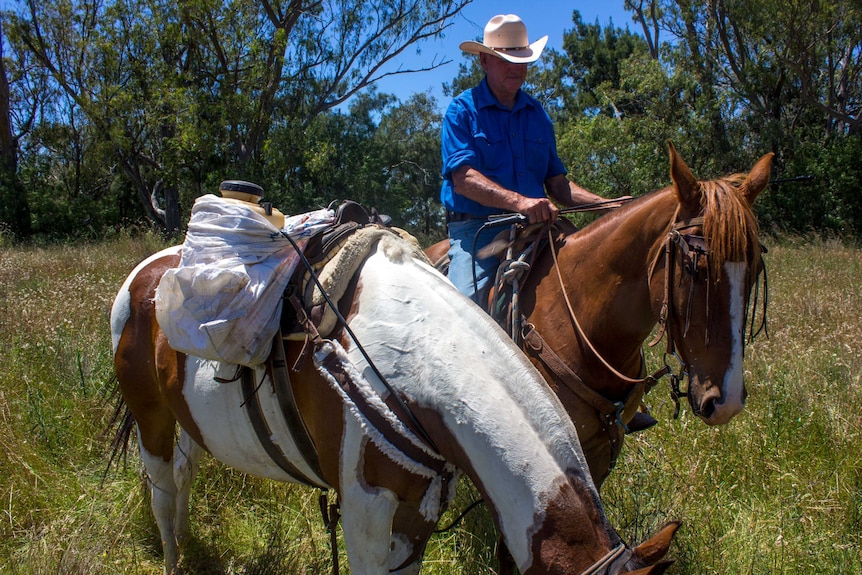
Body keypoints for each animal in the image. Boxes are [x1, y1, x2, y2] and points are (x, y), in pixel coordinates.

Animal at [109, 227, 676, 572]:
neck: (416, 359)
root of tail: (145, 273)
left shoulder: (418, 509)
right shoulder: (366, 509)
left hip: (188, 420)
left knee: (185, 474)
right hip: (151, 418)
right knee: (163, 491)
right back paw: (172, 556)